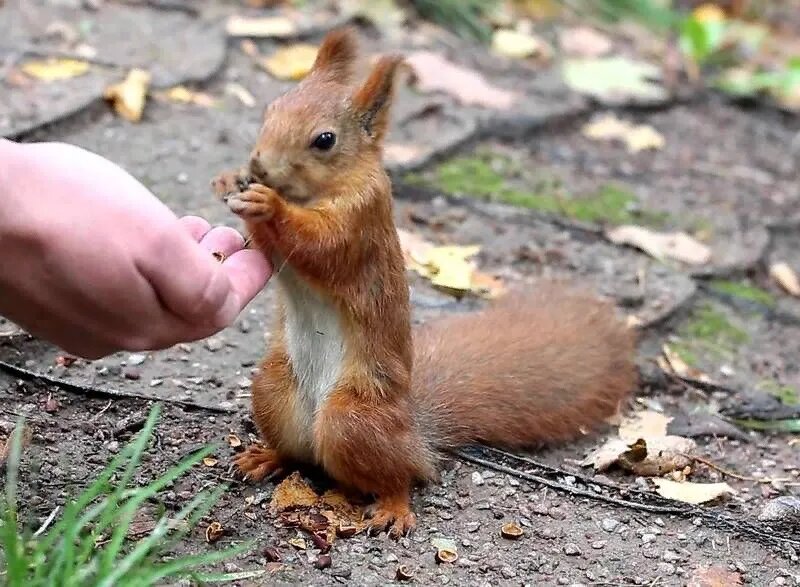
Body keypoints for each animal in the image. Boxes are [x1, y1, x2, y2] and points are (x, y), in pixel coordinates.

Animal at [212, 29, 636, 540]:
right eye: (272, 108)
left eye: (324, 140)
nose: (258, 165)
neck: (317, 192)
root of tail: (415, 432)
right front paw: (231, 181)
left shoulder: (361, 220)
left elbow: (322, 245)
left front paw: (267, 204)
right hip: (274, 390)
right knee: (299, 454)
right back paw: (266, 456)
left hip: (353, 419)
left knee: (399, 476)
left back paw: (394, 506)